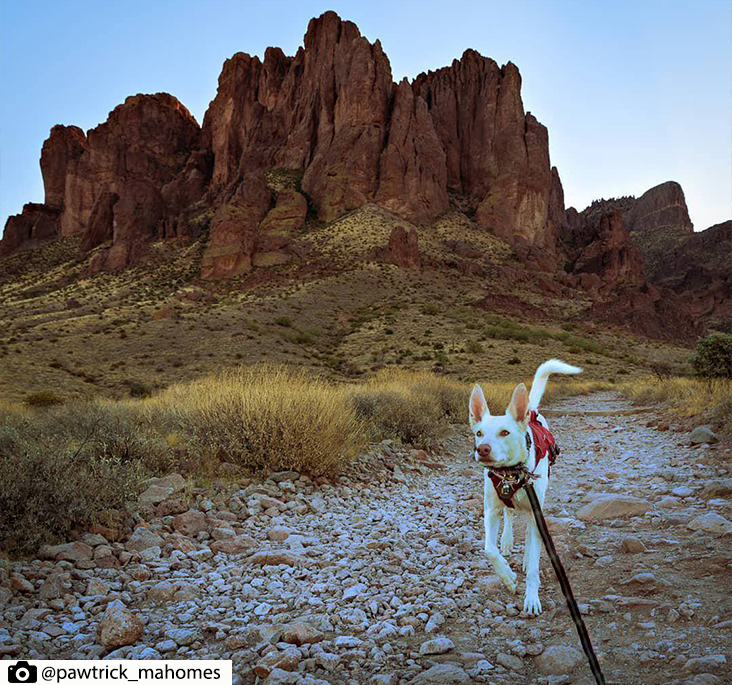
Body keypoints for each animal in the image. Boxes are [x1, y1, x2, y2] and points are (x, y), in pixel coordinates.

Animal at [468, 358, 584, 616]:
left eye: (505, 432)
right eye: (479, 433)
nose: (482, 449)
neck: (510, 473)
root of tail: (530, 411)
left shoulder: (535, 512)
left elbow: (533, 565)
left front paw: (531, 597)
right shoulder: (491, 510)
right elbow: (489, 550)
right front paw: (507, 577)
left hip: (535, 507)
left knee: (531, 535)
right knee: (509, 516)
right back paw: (507, 541)